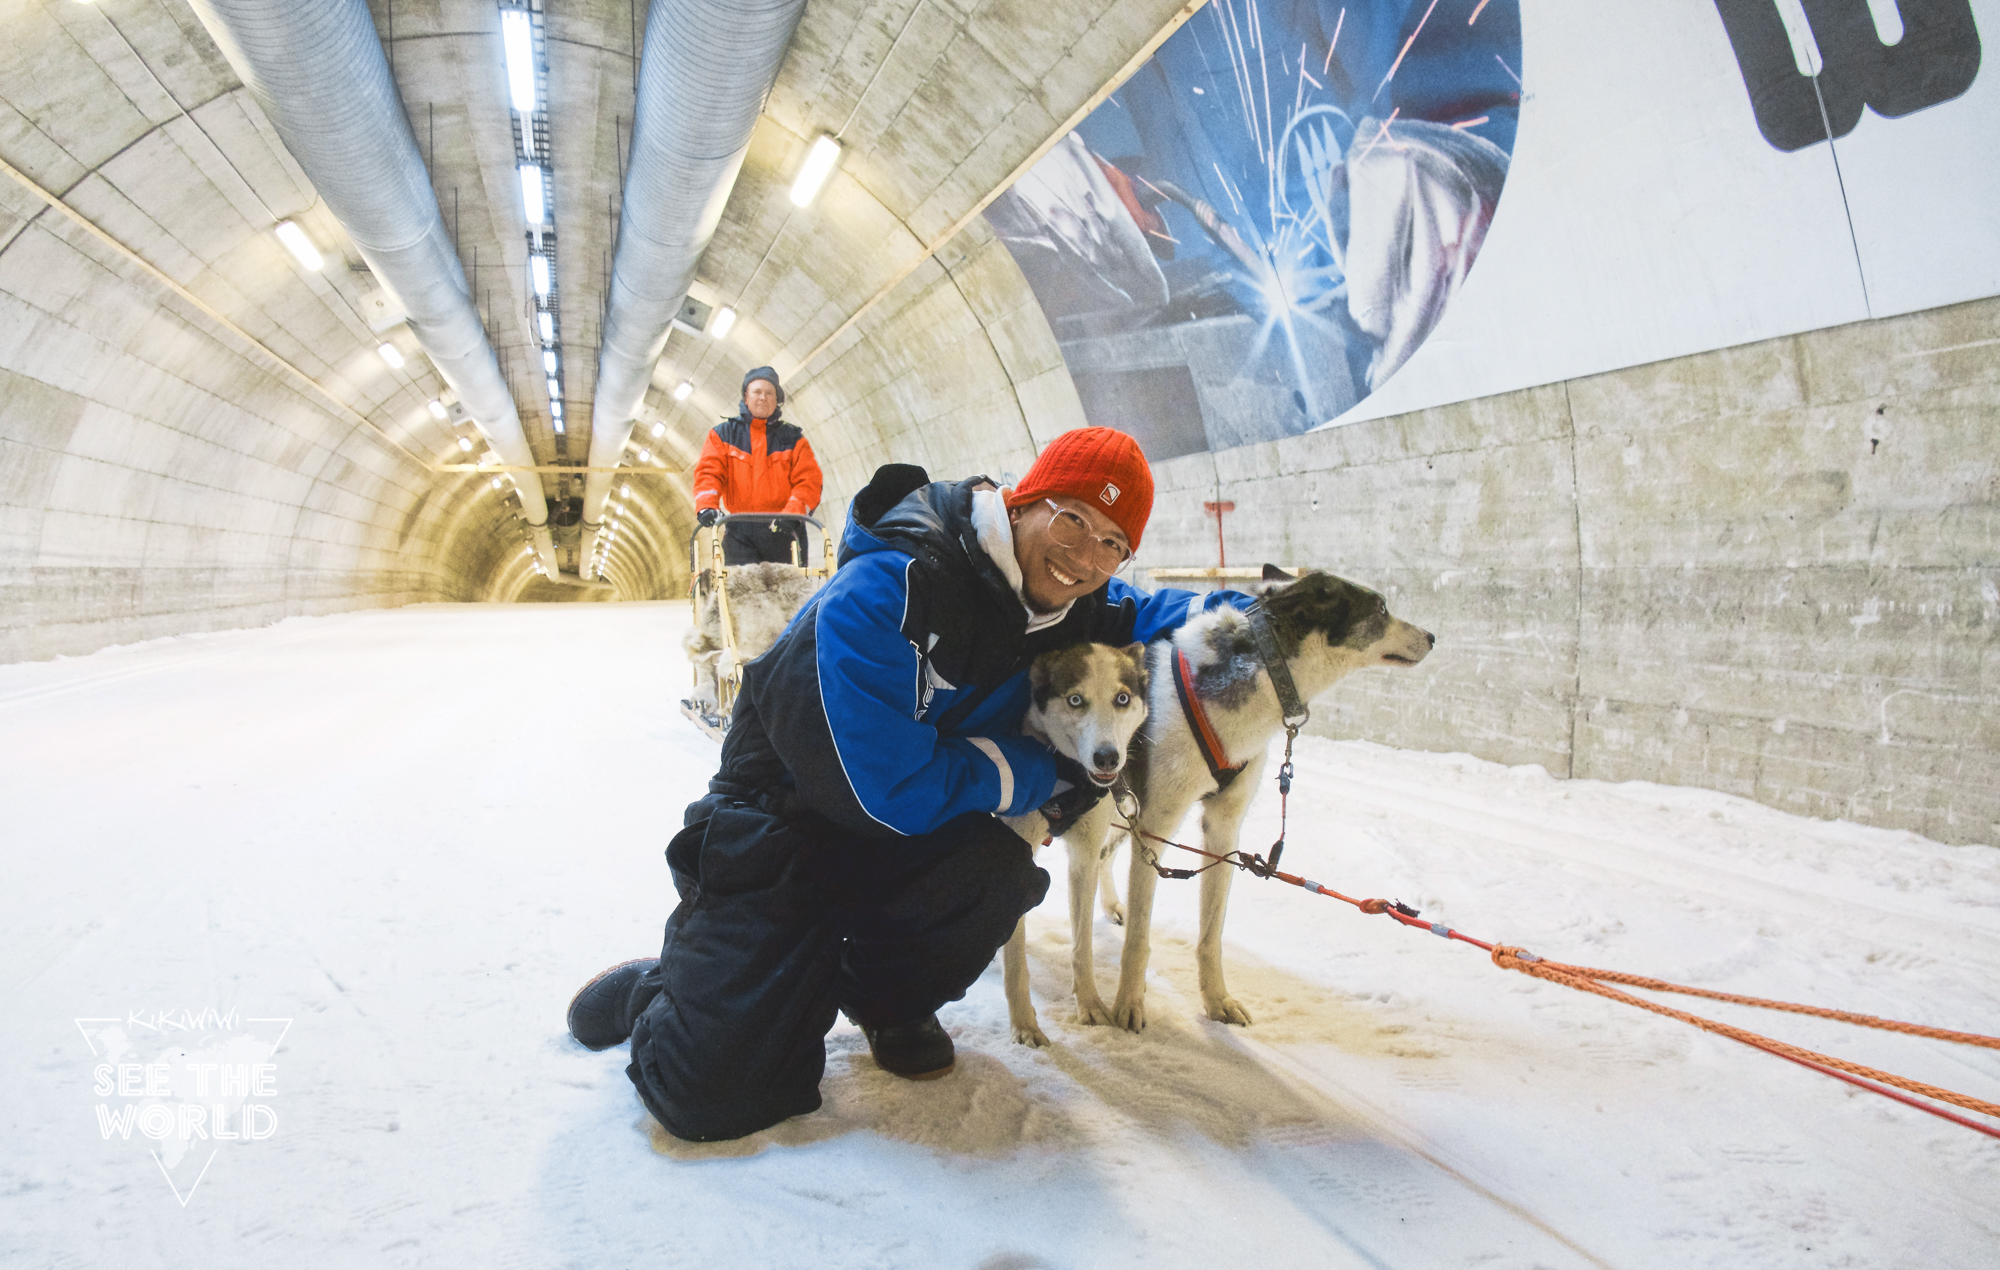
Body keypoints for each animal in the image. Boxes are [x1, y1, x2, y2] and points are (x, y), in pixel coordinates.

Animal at [996, 640, 1152, 1048]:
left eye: (1122, 698)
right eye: (1076, 700)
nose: (1107, 757)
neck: (1066, 782)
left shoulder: (1083, 857)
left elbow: (1082, 946)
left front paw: (1091, 1005)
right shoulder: (1018, 856)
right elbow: (1016, 960)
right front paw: (1024, 1024)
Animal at [1112, 572, 1440, 1032]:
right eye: (1380, 608)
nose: (1432, 636)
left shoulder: (1222, 828)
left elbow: (1211, 935)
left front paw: (1218, 1000)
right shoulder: (1156, 825)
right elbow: (1139, 939)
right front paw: (1128, 1002)